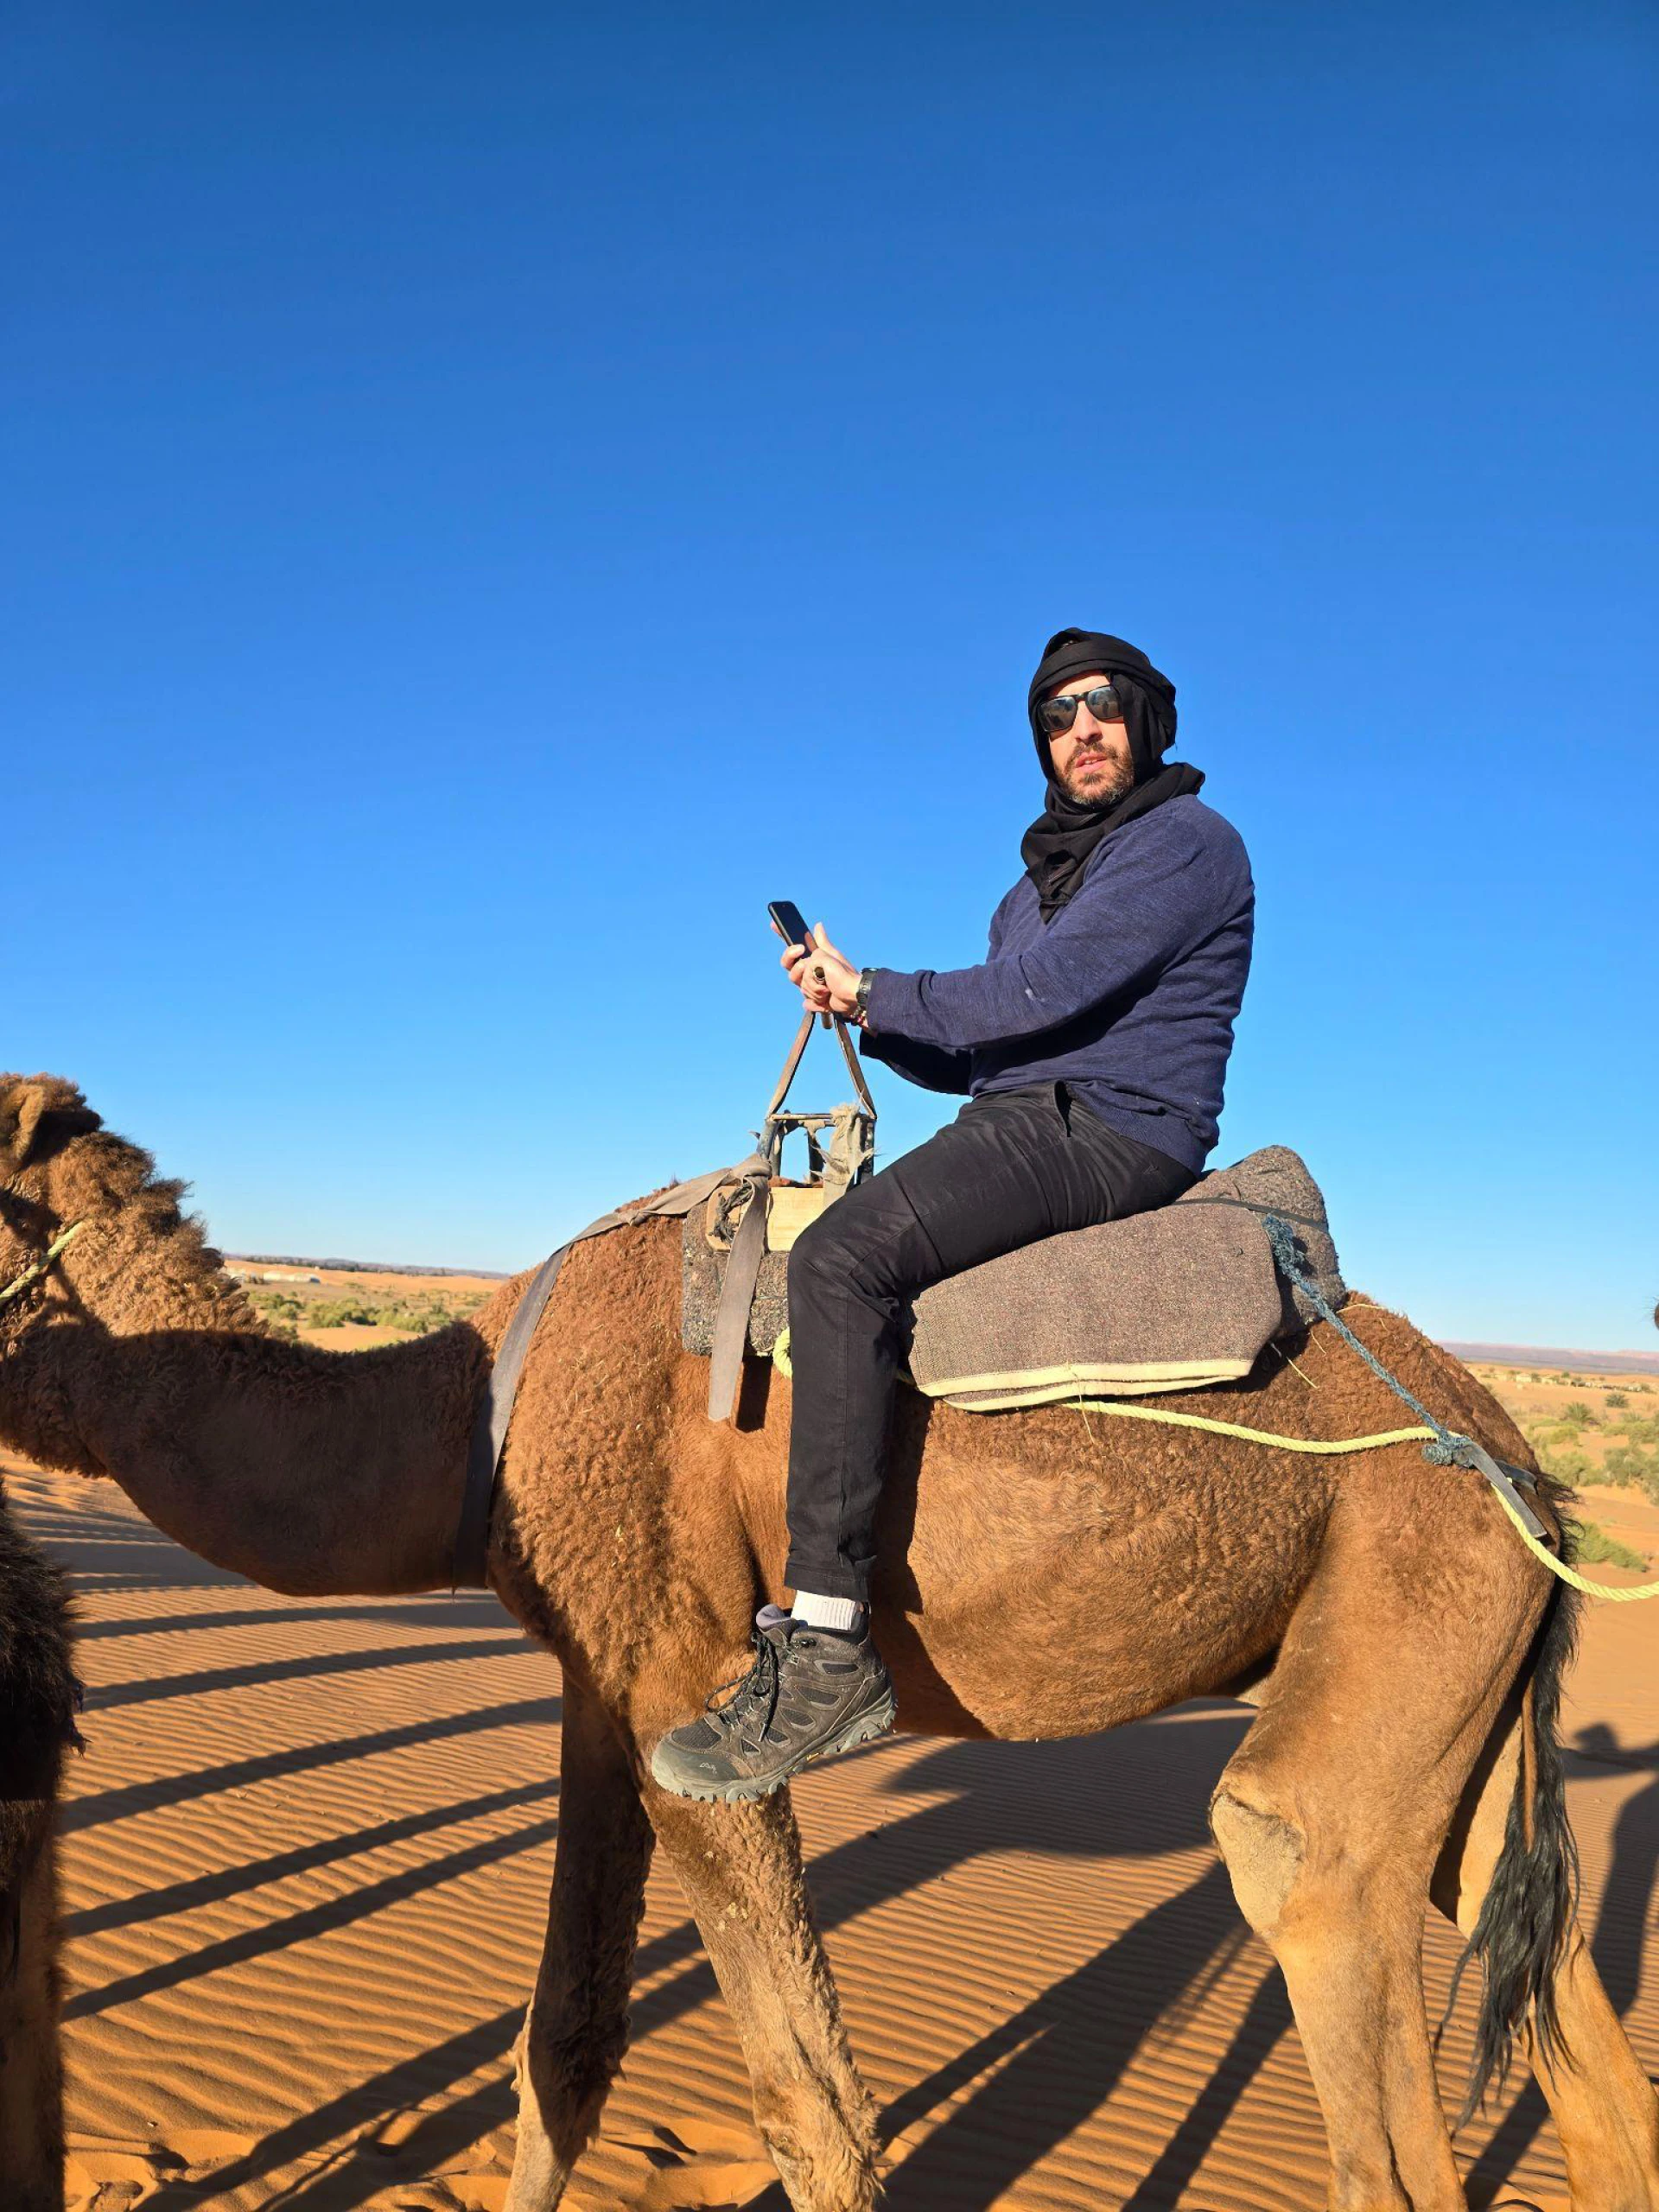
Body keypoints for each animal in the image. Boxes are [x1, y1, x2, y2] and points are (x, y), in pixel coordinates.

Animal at [2, 1070, 1657, 2212]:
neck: (475, 1414)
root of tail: (1530, 1468)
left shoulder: (691, 1695)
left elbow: (810, 2099)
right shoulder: (605, 1687)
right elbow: (565, 2043)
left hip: (1405, 1586)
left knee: (1308, 1896)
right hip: (1456, 1683)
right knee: (1559, 2004)